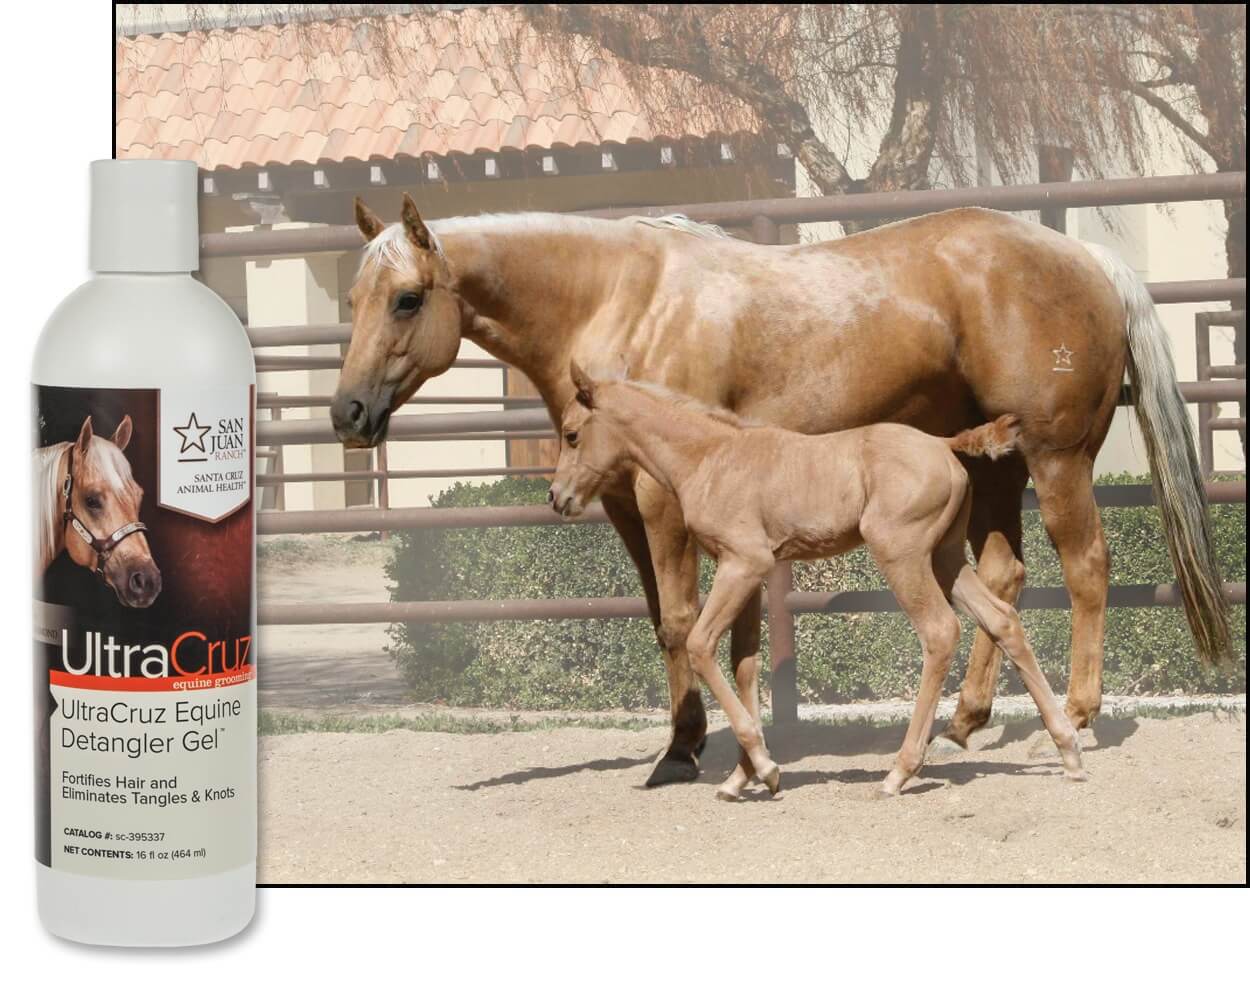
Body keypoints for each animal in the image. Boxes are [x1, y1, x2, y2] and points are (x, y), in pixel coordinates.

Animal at [549, 364, 1086, 798]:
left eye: (572, 434)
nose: (557, 497)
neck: (710, 457)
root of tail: (942, 443)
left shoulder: (743, 563)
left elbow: (701, 646)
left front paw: (765, 769)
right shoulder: (747, 571)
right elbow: (745, 664)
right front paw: (742, 777)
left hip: (903, 555)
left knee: (939, 632)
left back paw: (900, 771)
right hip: (945, 557)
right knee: (1003, 619)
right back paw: (1068, 751)